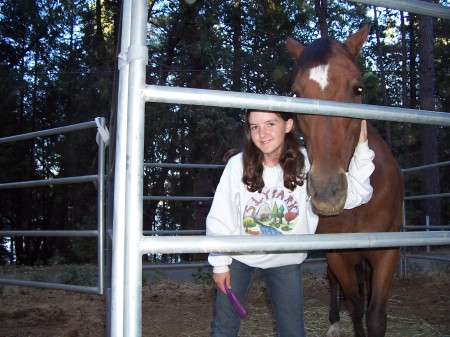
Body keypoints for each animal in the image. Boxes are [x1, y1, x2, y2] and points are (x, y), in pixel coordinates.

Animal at [286, 25, 402, 334]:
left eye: (358, 88)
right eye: (295, 94)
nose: (327, 192)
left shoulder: (387, 252)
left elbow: (375, 315)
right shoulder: (337, 254)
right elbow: (355, 305)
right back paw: (334, 322)